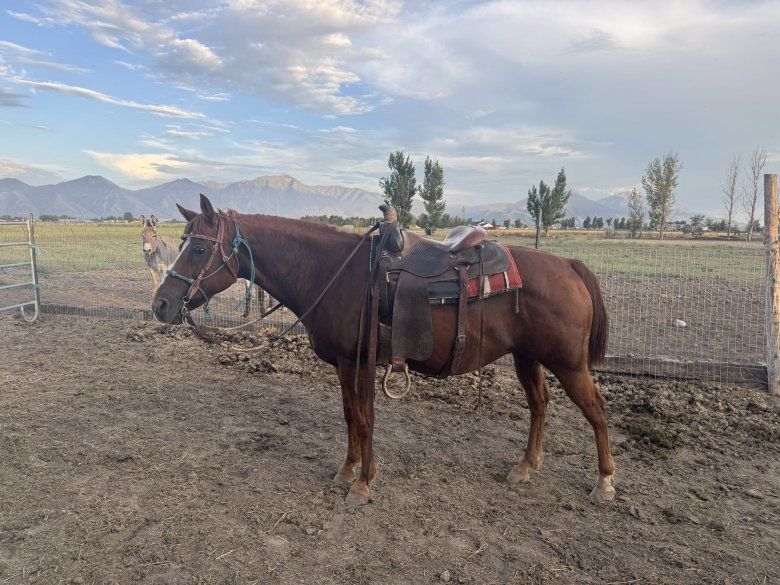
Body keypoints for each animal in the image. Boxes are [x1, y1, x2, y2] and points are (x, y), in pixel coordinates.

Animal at [152, 195, 615, 506]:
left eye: (198, 247)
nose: (161, 304)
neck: (334, 273)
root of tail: (569, 266)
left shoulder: (358, 362)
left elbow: (364, 417)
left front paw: (363, 482)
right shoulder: (343, 363)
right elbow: (350, 415)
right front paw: (348, 470)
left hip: (568, 363)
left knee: (596, 409)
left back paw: (605, 481)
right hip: (527, 357)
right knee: (539, 403)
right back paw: (526, 466)